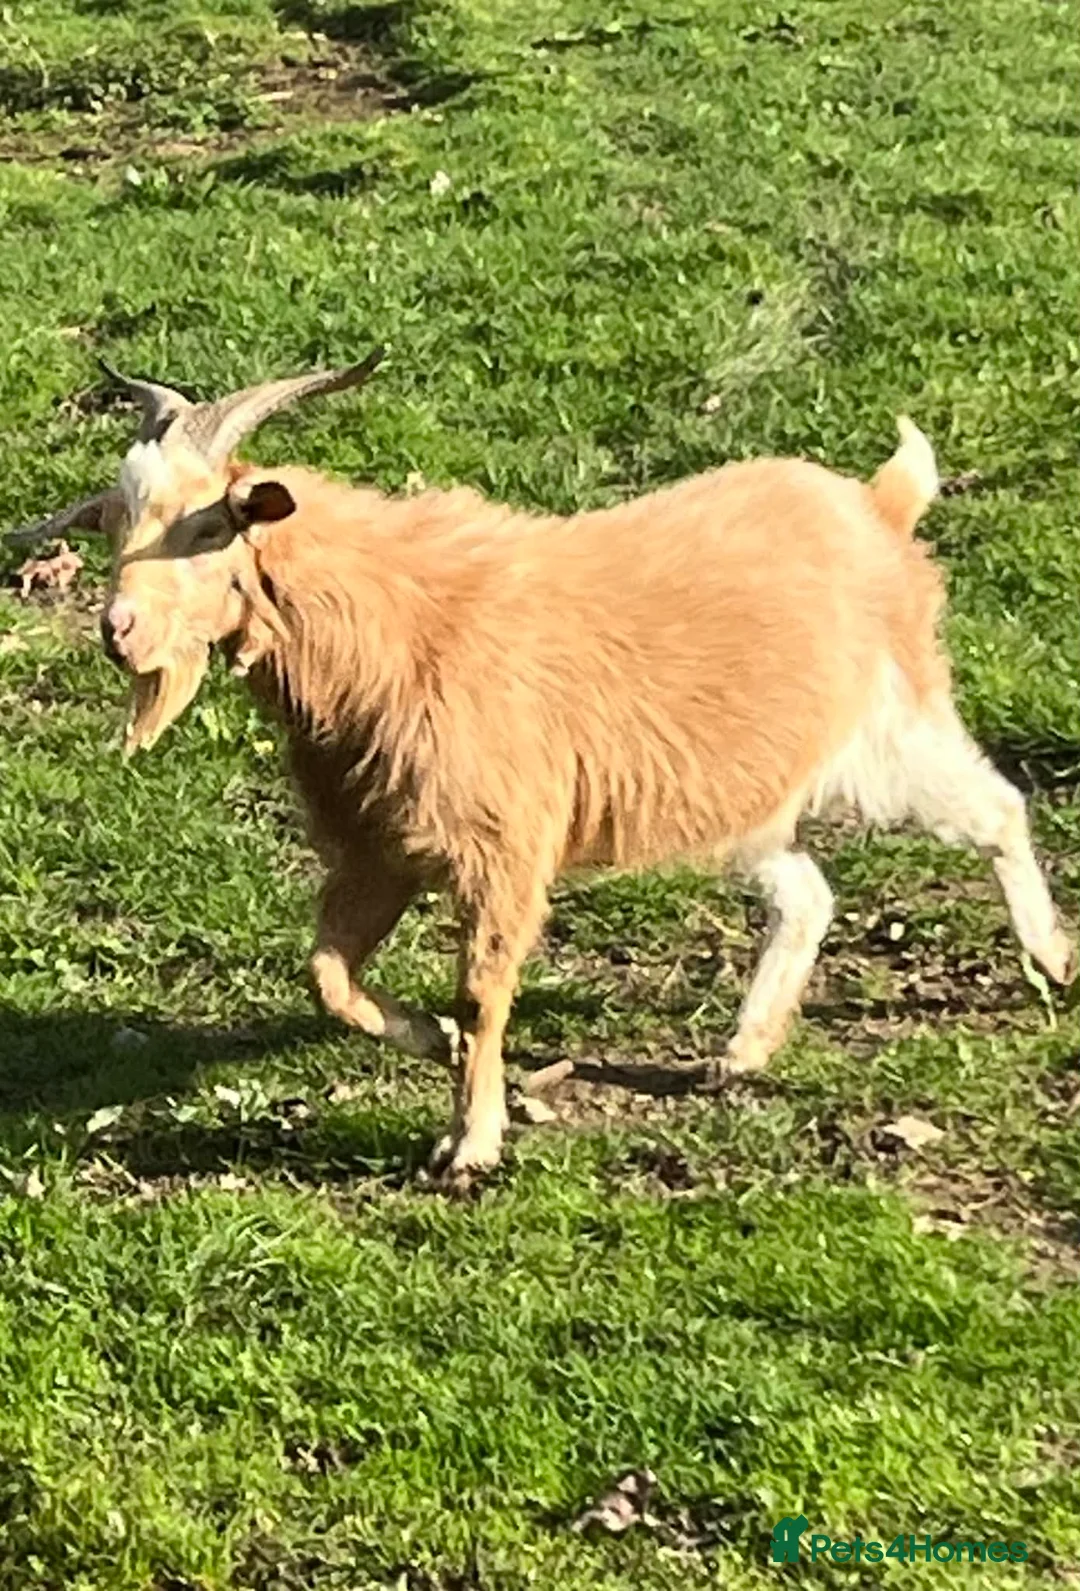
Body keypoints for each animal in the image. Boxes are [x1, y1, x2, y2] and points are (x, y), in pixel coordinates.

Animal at [11, 353, 1074, 1181]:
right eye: (115, 523)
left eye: (207, 524)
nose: (118, 629)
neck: (397, 625)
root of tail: (878, 507)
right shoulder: (379, 849)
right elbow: (329, 976)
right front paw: (427, 1041)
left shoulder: (503, 847)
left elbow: (482, 991)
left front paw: (470, 1144)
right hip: (737, 792)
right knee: (806, 890)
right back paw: (742, 1049)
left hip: (884, 731)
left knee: (996, 807)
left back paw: (1052, 958)